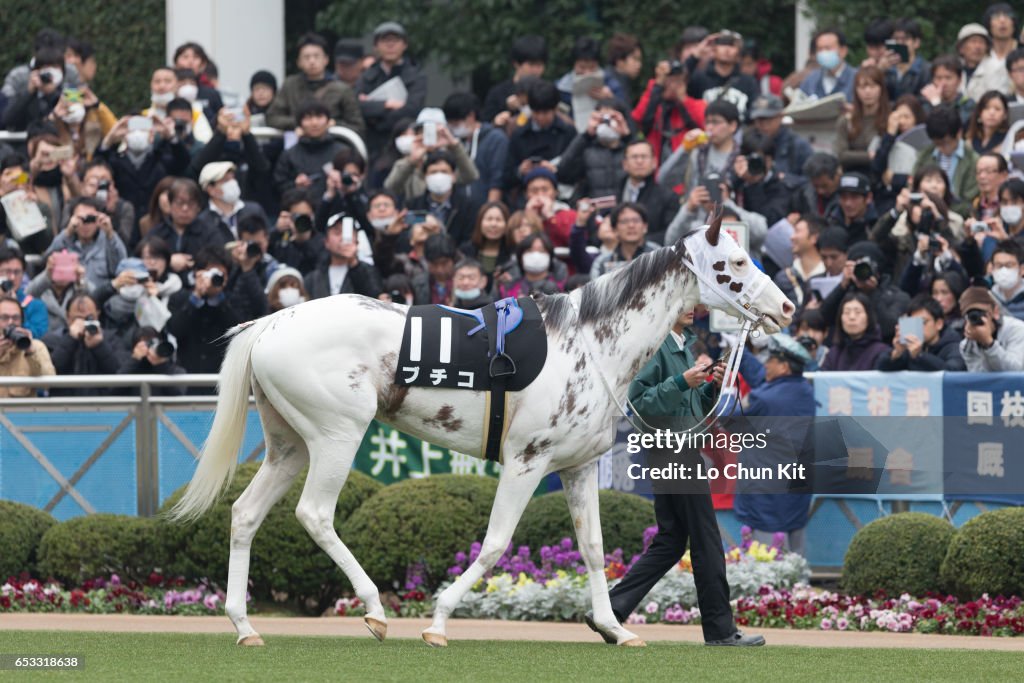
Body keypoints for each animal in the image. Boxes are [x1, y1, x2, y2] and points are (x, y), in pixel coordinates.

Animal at [169, 210, 790, 651]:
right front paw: (439, 621)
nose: (785, 306)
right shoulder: (526, 460)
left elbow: (593, 548)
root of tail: (271, 320)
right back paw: (374, 609)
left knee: (246, 514)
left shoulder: (577, 467)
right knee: (315, 514)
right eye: (735, 262)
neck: (586, 344)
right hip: (337, 436)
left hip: (289, 446)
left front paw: (614, 627)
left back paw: (245, 625)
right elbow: (495, 543)